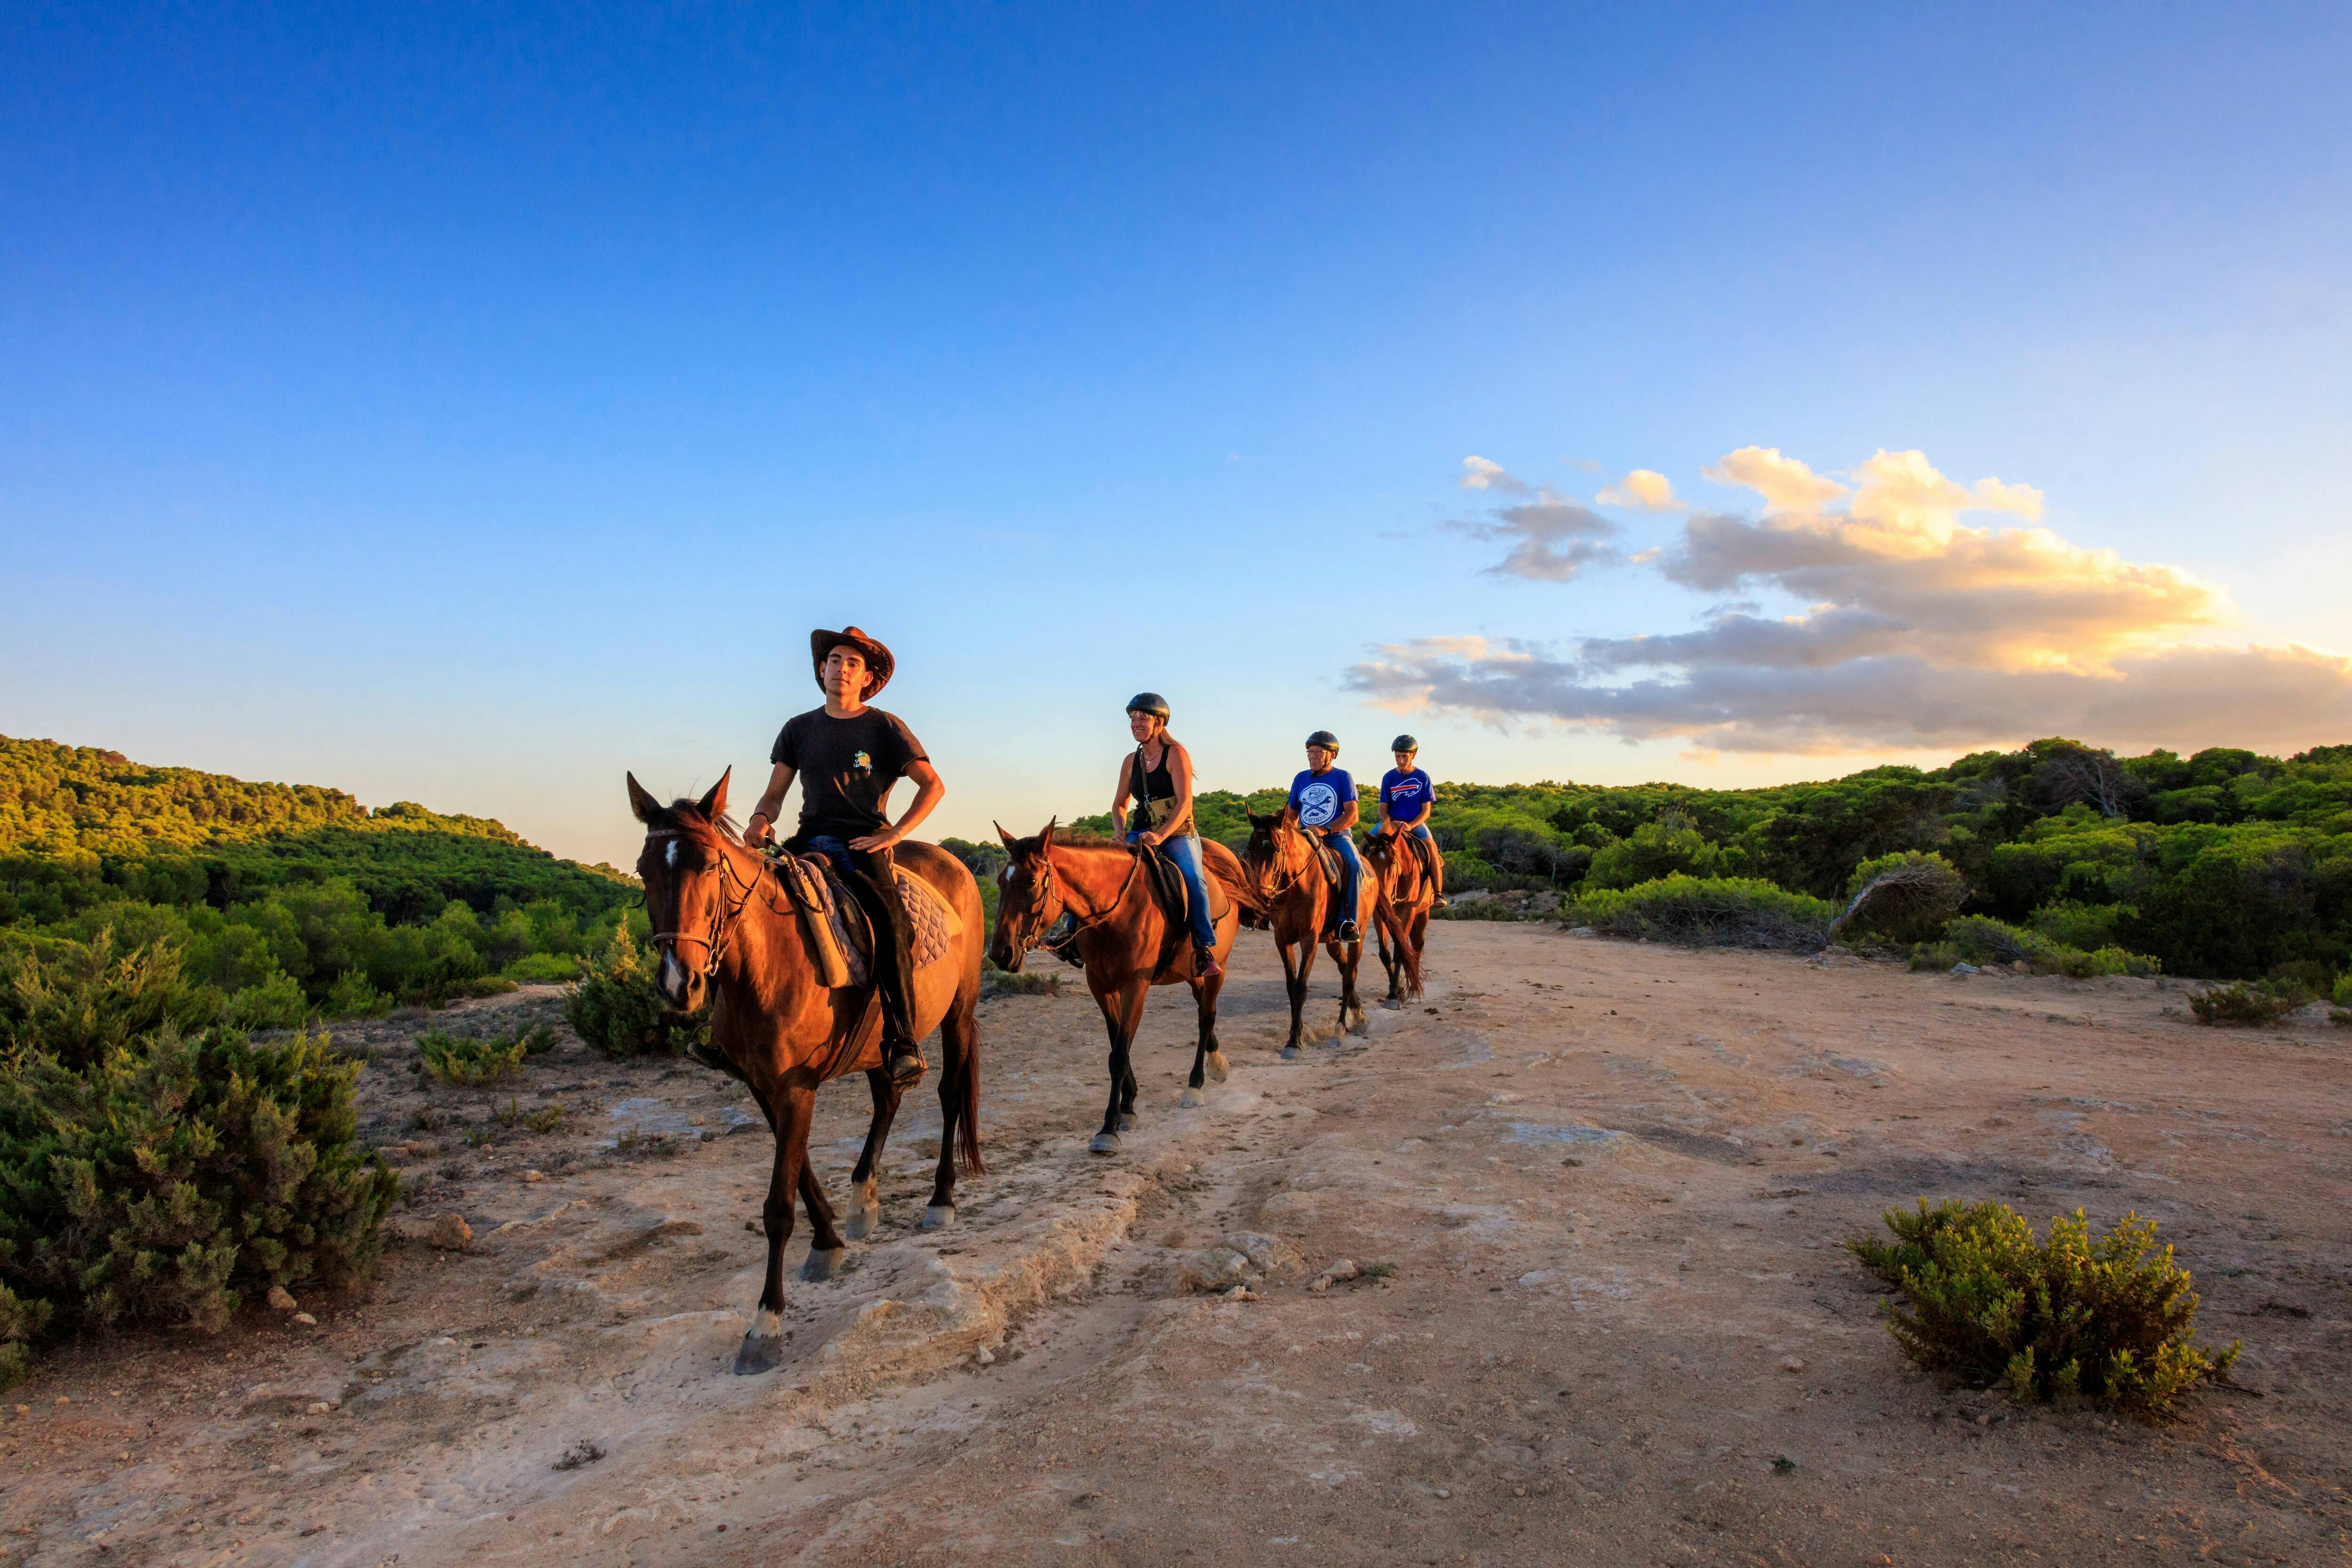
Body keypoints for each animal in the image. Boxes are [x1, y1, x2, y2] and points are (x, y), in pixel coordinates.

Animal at [626, 771, 983, 1373]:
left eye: (709, 866)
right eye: (643, 870)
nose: (680, 983)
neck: (767, 964)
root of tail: (952, 864)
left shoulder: (794, 1089)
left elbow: (777, 1205)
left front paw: (765, 1324)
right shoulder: (764, 1086)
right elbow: (800, 1172)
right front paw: (828, 1244)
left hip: (957, 1013)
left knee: (948, 1095)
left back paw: (940, 1200)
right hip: (876, 1044)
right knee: (887, 1098)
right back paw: (864, 1200)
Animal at [988, 822, 1251, 1152]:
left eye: (1032, 881)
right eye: (1001, 881)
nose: (1000, 953)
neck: (1114, 914)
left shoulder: (1134, 987)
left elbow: (1119, 1054)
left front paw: (1109, 1128)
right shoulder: (1100, 987)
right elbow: (1117, 1046)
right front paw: (1128, 1106)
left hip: (1219, 967)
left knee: (1206, 1017)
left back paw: (1196, 1084)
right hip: (1192, 973)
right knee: (1204, 1009)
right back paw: (1217, 1063)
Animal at [1251, 818, 1392, 1062]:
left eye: (1276, 850)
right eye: (1250, 849)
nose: (1261, 897)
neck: (1296, 886)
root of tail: (1371, 870)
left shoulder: (1310, 939)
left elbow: (1301, 987)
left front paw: (1294, 1043)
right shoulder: (1282, 940)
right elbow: (1291, 986)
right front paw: (1298, 1031)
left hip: (1360, 934)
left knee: (1349, 977)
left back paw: (1340, 1030)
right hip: (1332, 941)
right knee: (1344, 968)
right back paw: (1359, 1016)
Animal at [1364, 832, 1430, 1006]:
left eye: (1394, 862)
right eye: (1370, 861)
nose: (1382, 893)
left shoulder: (1409, 910)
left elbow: (1401, 950)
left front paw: (1394, 994)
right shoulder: (1379, 914)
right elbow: (1385, 953)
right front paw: (1399, 988)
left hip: (1422, 912)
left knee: (1418, 944)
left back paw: (1414, 987)